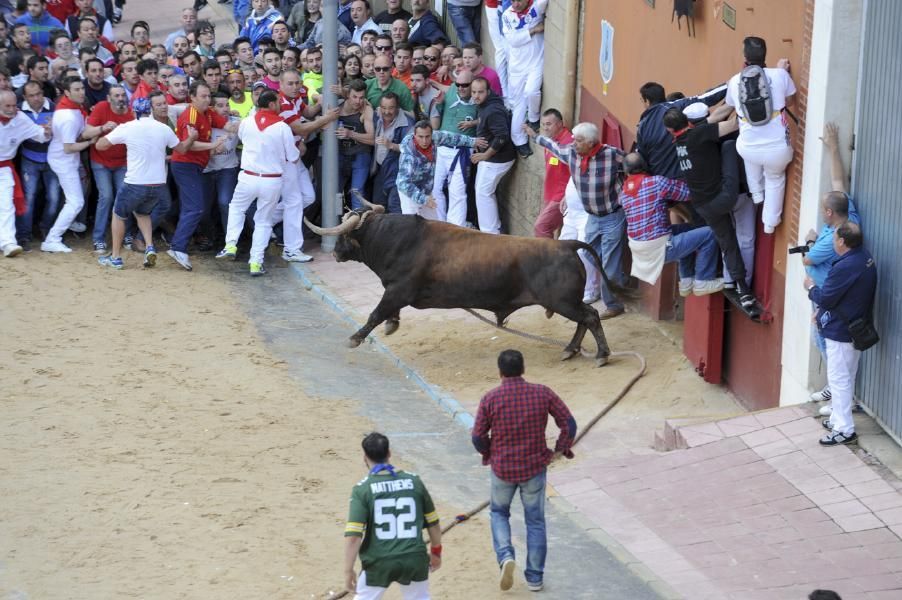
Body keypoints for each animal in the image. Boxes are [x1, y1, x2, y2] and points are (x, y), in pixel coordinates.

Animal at [308, 202, 624, 366]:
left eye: (344, 236)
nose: (335, 252)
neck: (391, 238)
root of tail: (567, 244)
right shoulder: (395, 292)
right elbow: (386, 313)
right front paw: (391, 324)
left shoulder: (398, 290)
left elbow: (375, 313)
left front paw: (355, 338)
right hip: (564, 301)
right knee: (584, 319)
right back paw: (570, 350)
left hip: (561, 301)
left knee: (590, 316)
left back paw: (601, 355)